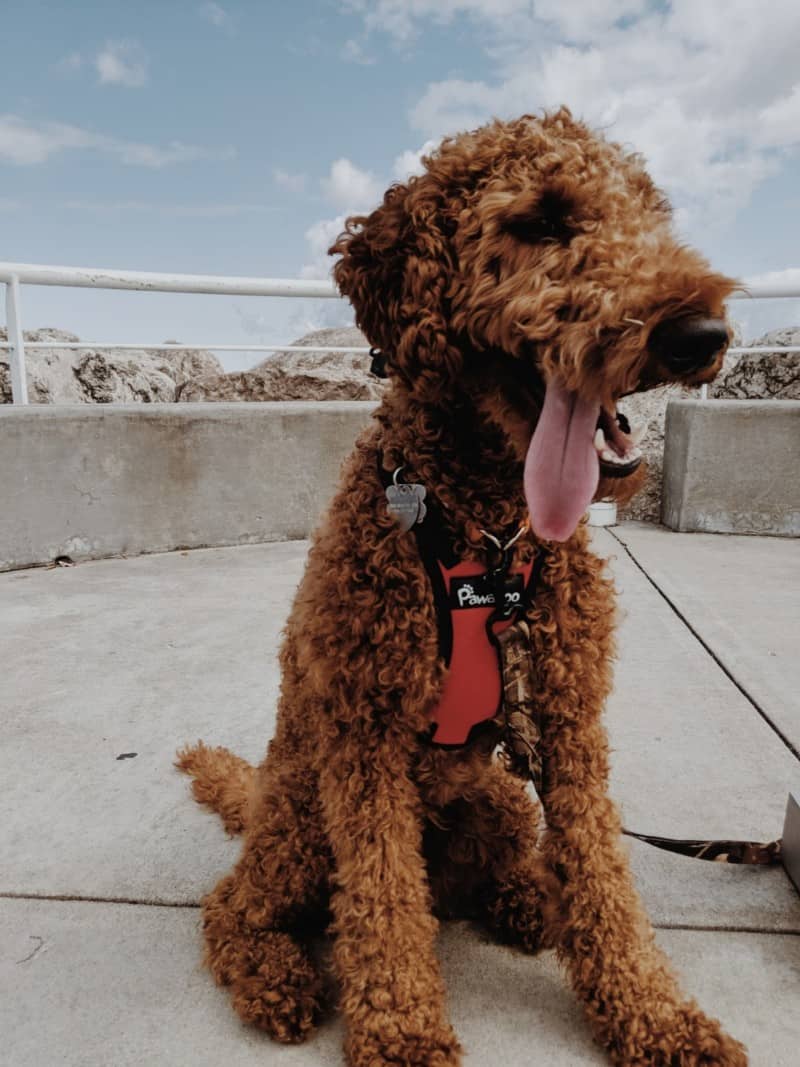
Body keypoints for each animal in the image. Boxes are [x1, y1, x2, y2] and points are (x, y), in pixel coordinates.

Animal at [178, 110, 750, 1067]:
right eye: (543, 220)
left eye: (648, 213)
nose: (702, 332)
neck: (486, 534)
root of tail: (256, 795)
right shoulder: (366, 742)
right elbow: (382, 899)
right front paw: (404, 1032)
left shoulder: (567, 722)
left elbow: (603, 875)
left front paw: (656, 1013)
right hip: (303, 816)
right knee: (240, 906)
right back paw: (275, 975)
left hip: (501, 798)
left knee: (492, 873)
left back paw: (527, 901)